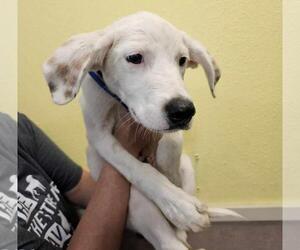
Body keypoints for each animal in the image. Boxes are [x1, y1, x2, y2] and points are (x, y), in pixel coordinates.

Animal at [43, 12, 224, 250]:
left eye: (182, 60)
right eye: (135, 57)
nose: (183, 111)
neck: (119, 103)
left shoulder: (167, 131)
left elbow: (171, 142)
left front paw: (170, 173)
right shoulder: (97, 135)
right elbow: (134, 166)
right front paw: (180, 204)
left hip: (188, 169)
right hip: (139, 205)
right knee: (167, 241)